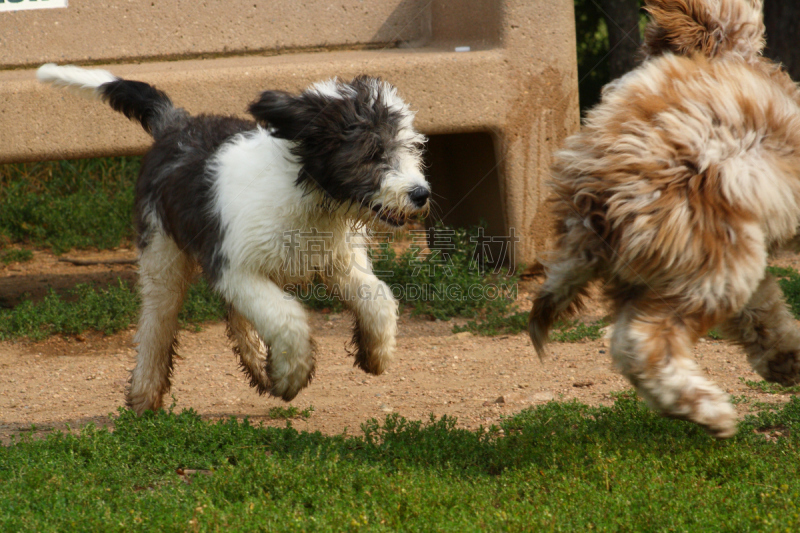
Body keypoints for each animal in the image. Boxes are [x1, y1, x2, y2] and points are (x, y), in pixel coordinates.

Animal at [37, 61, 432, 412]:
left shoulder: (337, 261)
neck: (309, 197)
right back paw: (144, 397)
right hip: (162, 254)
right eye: (373, 153)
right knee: (157, 324)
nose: (421, 194)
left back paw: (256, 363)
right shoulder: (234, 266)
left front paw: (375, 353)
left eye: (412, 147)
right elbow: (288, 318)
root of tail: (176, 124)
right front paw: (291, 376)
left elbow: (378, 298)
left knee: (233, 314)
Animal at [532, 0, 800, 436]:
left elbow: (761, 310)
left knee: (630, 341)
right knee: (643, 341)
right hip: (712, 258)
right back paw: (707, 410)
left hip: (679, 263)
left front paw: (785, 357)